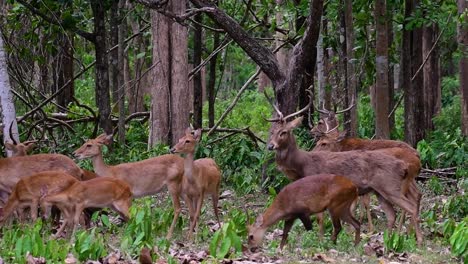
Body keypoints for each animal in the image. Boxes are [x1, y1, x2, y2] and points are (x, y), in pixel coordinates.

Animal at [266, 104, 422, 244]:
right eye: (271, 131)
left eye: (284, 132)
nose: (270, 146)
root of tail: (416, 156)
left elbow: (323, 217)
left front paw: (322, 239)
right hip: (389, 188)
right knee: (405, 204)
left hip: (394, 187)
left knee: (410, 205)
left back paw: (414, 238)